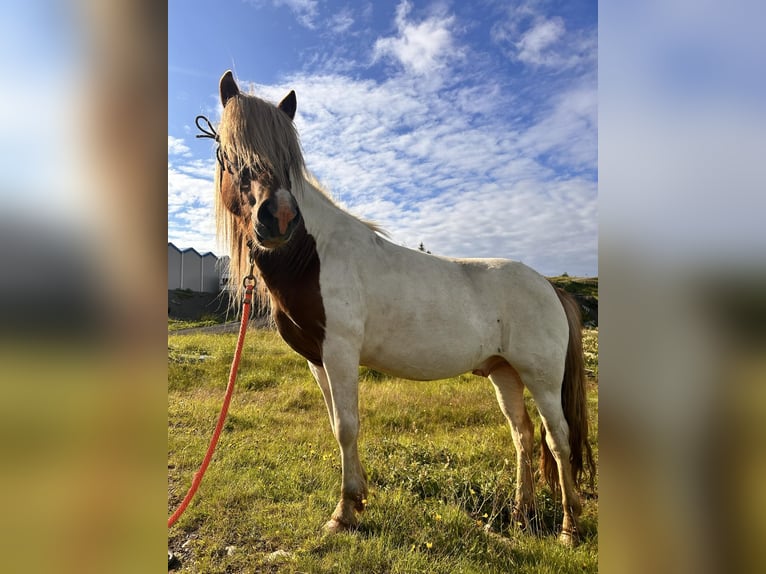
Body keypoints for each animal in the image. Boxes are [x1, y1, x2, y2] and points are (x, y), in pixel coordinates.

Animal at [209, 70, 594, 545]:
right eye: (229, 151)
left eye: (289, 159)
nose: (278, 218)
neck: (314, 255)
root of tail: (550, 287)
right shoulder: (317, 361)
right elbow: (337, 424)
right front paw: (355, 502)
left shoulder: (340, 353)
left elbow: (347, 426)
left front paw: (344, 512)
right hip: (504, 373)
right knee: (522, 434)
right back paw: (521, 516)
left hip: (541, 377)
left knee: (557, 438)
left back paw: (569, 527)